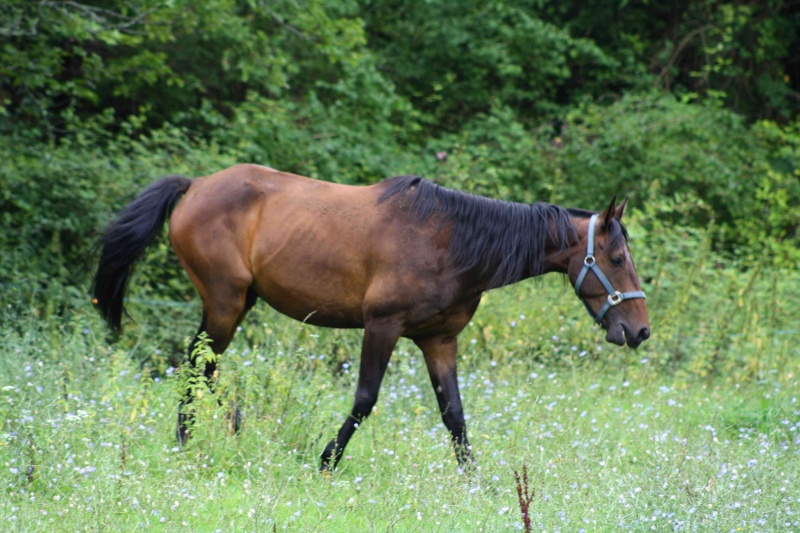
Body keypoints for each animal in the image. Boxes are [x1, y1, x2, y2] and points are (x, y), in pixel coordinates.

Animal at [92, 163, 648, 470]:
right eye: (617, 258)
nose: (639, 330)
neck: (452, 242)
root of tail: (196, 185)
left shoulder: (438, 341)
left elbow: (455, 416)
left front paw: (477, 482)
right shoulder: (382, 327)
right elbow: (364, 399)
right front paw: (325, 462)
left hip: (236, 303)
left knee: (199, 365)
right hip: (224, 303)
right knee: (196, 364)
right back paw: (207, 435)